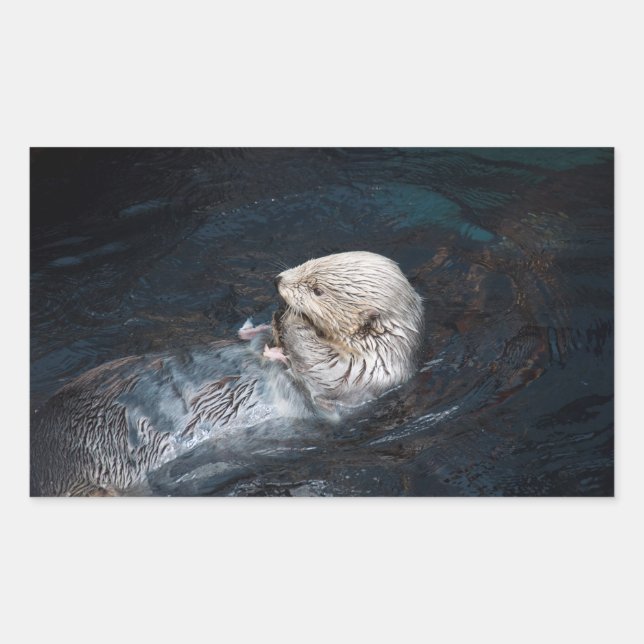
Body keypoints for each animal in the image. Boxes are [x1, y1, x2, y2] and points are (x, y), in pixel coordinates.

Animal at [31, 251, 424, 496]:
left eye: (317, 289)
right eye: (313, 261)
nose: (278, 280)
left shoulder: (366, 378)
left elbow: (324, 368)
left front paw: (291, 320)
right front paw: (271, 323)